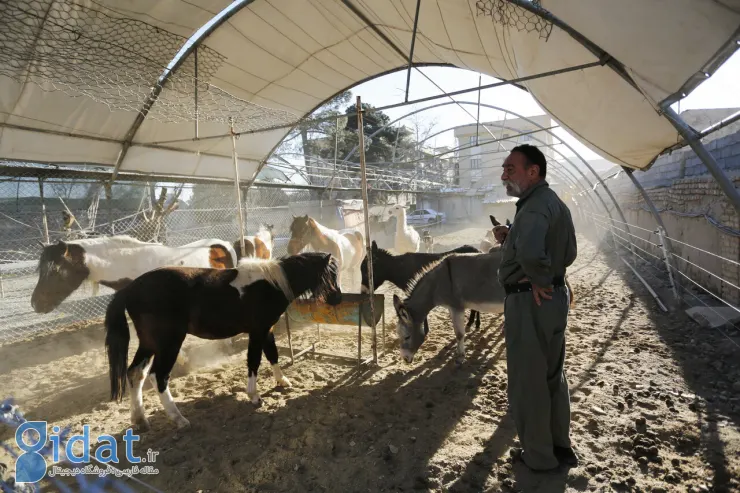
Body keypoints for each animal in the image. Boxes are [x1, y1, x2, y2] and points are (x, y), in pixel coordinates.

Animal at [105, 252, 342, 428]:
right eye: (330, 275)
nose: (338, 298)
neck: (270, 283)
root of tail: (130, 289)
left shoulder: (267, 329)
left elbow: (273, 354)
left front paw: (283, 381)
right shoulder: (257, 331)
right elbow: (254, 361)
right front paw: (254, 396)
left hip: (149, 343)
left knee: (136, 373)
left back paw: (139, 420)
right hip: (169, 343)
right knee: (158, 376)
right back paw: (179, 418)